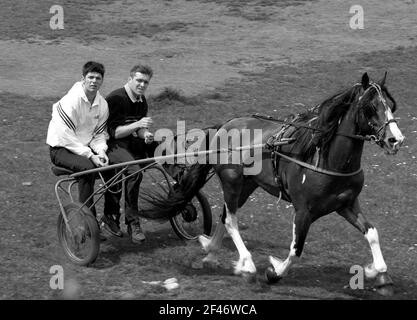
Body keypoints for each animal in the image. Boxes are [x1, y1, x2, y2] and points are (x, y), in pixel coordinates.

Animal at [145, 72, 402, 296]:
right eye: (370, 107)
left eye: (391, 104)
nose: (396, 140)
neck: (328, 159)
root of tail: (223, 127)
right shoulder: (303, 211)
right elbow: (296, 250)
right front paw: (274, 272)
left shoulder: (346, 204)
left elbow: (372, 233)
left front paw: (380, 274)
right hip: (231, 180)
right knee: (230, 220)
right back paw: (247, 266)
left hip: (247, 185)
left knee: (225, 215)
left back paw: (210, 253)